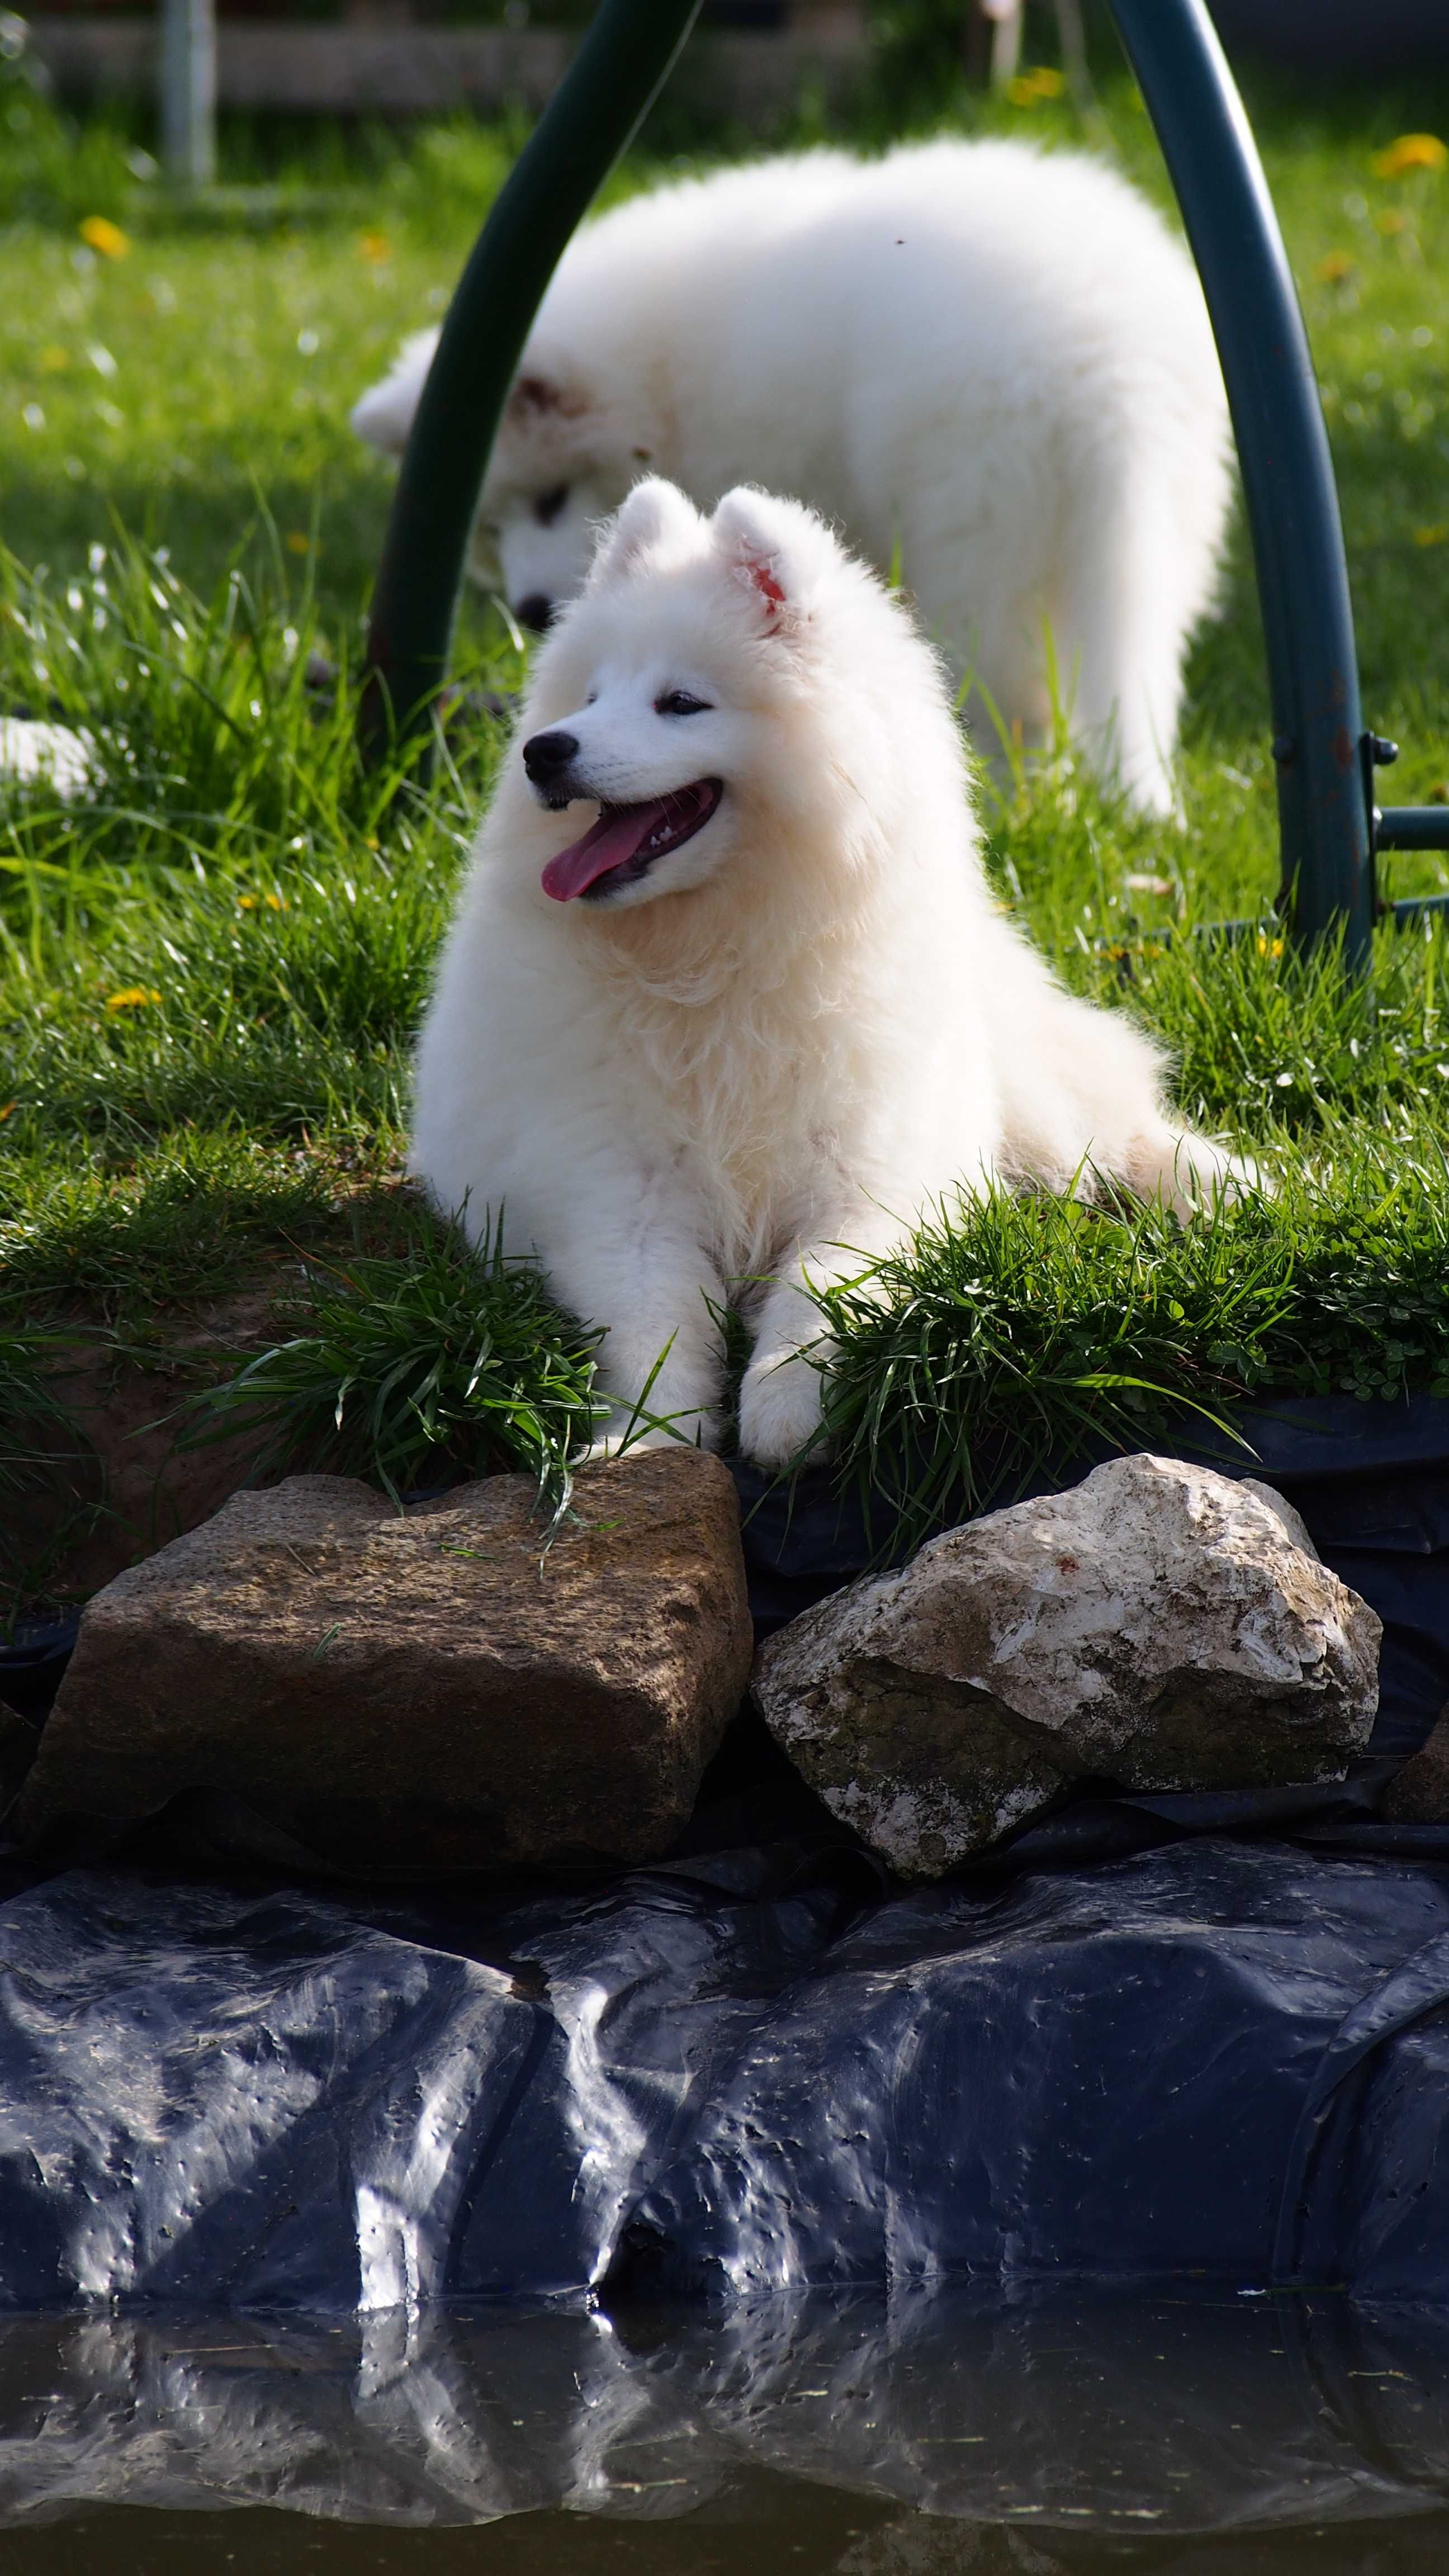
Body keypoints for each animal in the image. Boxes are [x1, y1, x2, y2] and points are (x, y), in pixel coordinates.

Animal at [356, 136, 1222, 814]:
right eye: (490, 528)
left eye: (552, 498)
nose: (533, 610)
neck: (662, 379)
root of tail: (1108, 369)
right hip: (1153, 535)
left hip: (977, 530)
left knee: (1008, 688)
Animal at [410, 481, 1243, 1473]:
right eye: (593, 696)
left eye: (681, 703)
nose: (546, 750)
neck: (711, 955)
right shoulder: (614, 1181)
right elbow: (651, 1315)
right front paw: (647, 1434)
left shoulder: (873, 1164)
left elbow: (824, 1283)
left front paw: (785, 1410)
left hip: (1034, 1096)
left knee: (1112, 1130)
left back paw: (1227, 1187)